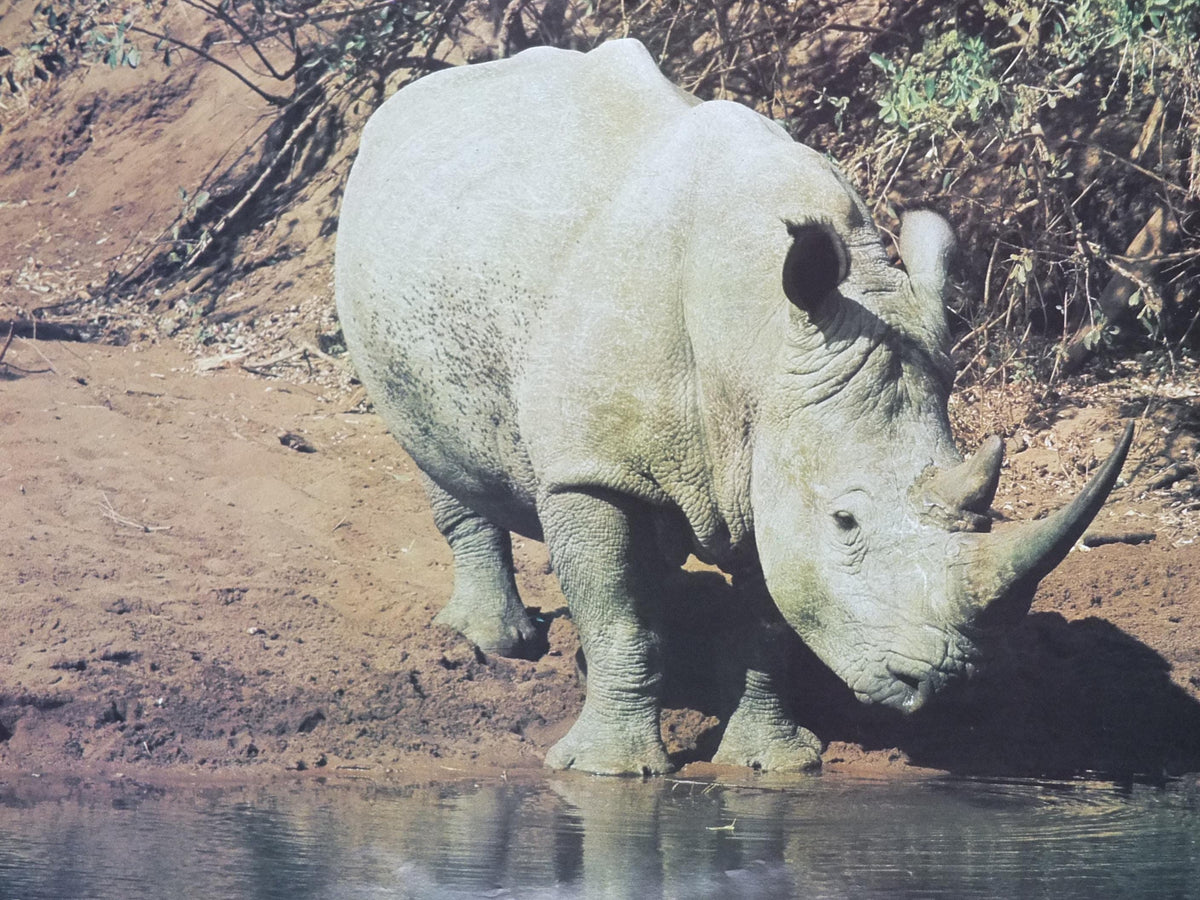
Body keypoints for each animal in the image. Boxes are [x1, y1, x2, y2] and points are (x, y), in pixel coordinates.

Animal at [335, 39, 1132, 775]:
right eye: (846, 522)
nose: (943, 682)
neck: (762, 340)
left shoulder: (772, 448)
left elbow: (767, 622)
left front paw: (771, 763)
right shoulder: (589, 468)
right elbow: (616, 616)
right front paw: (607, 772)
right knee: (433, 445)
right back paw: (497, 642)